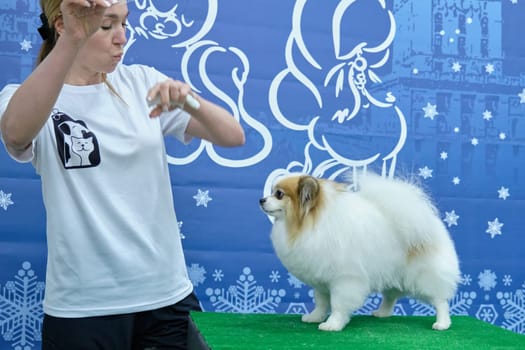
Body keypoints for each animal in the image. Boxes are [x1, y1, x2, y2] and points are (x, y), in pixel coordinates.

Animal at [258, 174, 458, 332]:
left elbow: (338, 304)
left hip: (424, 277)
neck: (311, 225)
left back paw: (442, 323)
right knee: (390, 297)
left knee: (440, 301)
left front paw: (332, 324)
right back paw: (382, 313)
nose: (261, 199)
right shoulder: (321, 279)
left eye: (279, 194)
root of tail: (430, 222)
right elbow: (321, 302)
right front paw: (315, 317)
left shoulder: (344, 279)